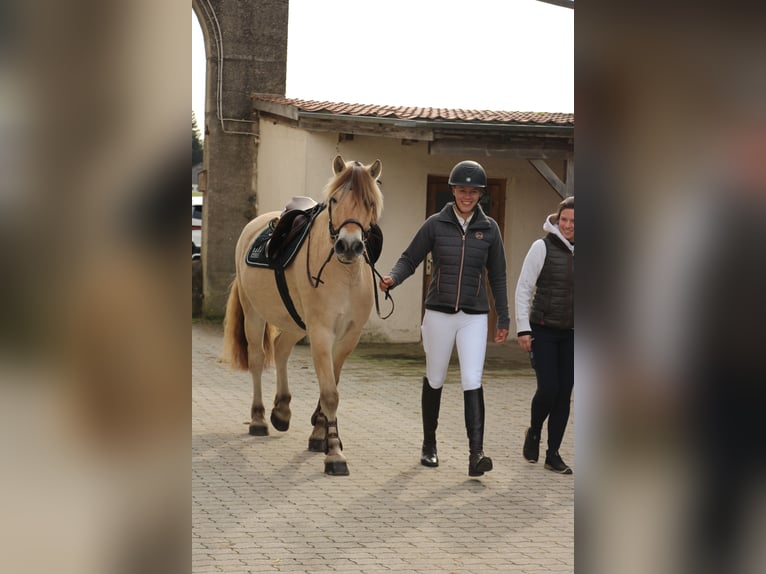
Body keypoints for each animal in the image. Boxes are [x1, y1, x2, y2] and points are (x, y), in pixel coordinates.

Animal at [222, 155, 384, 476]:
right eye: (334, 200)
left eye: (370, 202)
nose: (349, 246)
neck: (343, 273)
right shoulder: (321, 332)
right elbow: (330, 392)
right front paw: (334, 453)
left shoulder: (349, 336)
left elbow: (330, 385)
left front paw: (320, 433)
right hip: (254, 314)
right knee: (258, 359)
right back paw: (259, 418)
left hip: (296, 323)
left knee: (281, 348)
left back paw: (282, 411)